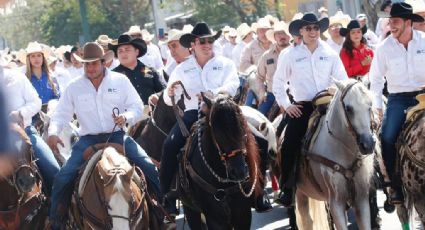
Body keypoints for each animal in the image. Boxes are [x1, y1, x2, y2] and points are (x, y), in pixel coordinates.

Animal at [176, 92, 262, 229]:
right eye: (217, 131)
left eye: (242, 125)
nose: (239, 172)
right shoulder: (215, 220)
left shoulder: (243, 215)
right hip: (191, 211)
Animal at [294, 79, 374, 230]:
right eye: (348, 108)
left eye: (370, 105)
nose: (368, 144)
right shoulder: (336, 204)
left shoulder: (361, 200)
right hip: (300, 193)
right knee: (306, 220)